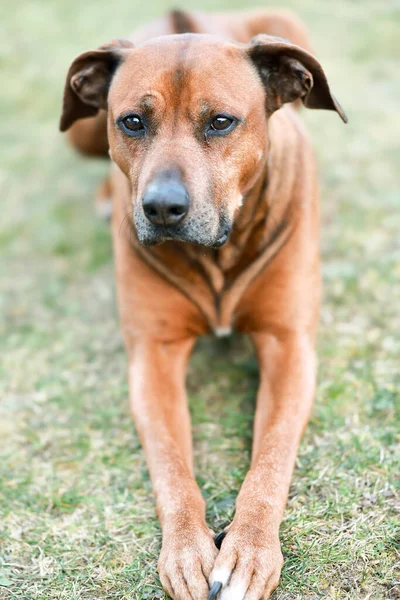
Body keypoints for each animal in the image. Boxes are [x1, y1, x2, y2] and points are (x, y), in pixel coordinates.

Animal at [60, 9, 346, 600]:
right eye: (132, 122)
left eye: (220, 122)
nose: (162, 207)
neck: (217, 254)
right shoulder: (154, 355)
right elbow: (171, 464)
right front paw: (188, 549)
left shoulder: (289, 346)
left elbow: (271, 457)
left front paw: (249, 550)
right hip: (79, 129)